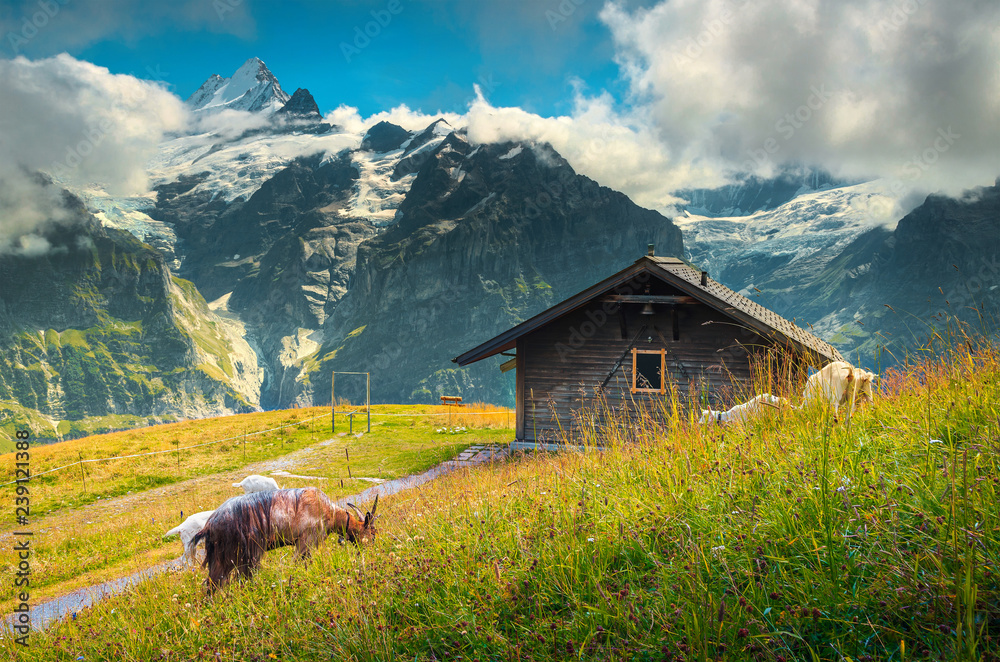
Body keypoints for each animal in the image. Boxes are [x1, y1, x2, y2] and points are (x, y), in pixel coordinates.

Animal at [192, 488, 378, 592]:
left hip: (221, 557)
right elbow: (298, 562)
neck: (327, 511)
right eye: (373, 534)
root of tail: (210, 524)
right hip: (243, 553)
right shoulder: (306, 540)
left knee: (213, 583)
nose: (372, 551)